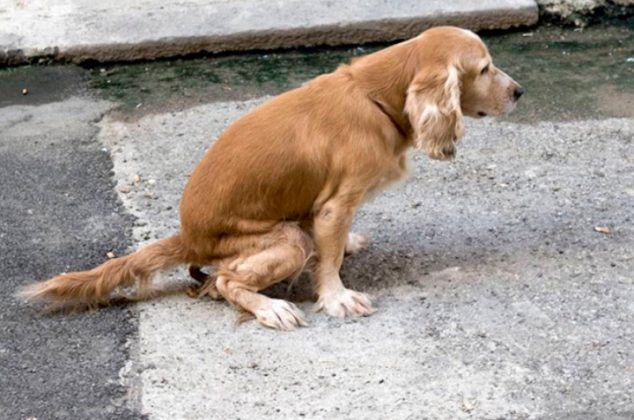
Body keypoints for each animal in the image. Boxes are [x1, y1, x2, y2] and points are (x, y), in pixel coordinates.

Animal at [21, 26, 524, 330]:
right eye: (484, 68)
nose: (520, 92)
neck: (376, 96)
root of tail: (189, 237)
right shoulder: (334, 205)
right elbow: (328, 262)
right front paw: (337, 297)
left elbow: (335, 245)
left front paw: (349, 244)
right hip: (282, 242)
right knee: (227, 282)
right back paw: (271, 308)